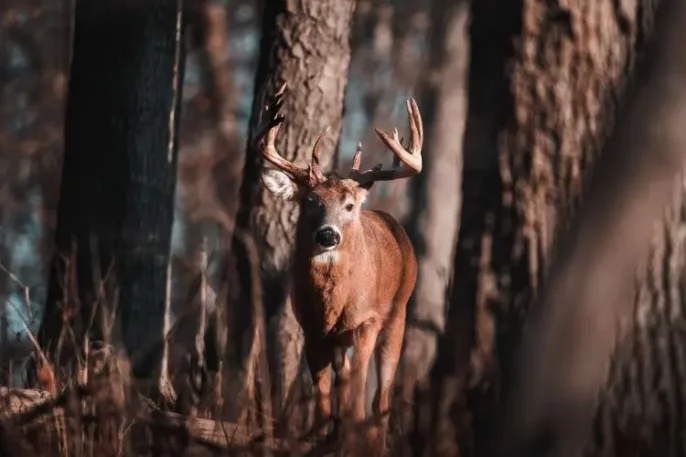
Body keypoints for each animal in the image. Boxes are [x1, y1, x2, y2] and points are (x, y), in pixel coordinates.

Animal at [254, 85, 423, 453]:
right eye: (310, 201)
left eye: (348, 205)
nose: (328, 235)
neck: (333, 303)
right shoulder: (311, 328)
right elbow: (323, 389)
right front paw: (317, 435)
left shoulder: (367, 321)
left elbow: (360, 388)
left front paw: (355, 435)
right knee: (343, 377)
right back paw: (337, 433)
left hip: (398, 315)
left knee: (381, 395)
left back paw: (372, 439)